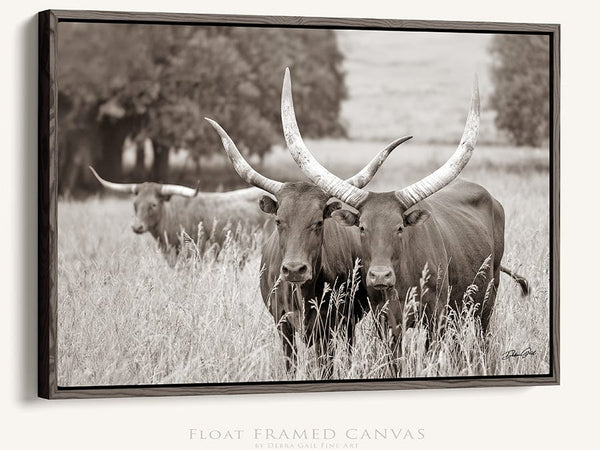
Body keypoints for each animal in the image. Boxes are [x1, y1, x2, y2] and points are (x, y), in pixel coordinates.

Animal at [204, 116, 410, 370]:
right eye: (278, 220)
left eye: (318, 222)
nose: (294, 269)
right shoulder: (282, 325)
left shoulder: (328, 327)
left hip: (349, 322)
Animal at [280, 69, 524, 352]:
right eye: (362, 227)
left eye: (399, 228)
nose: (380, 275)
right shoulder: (386, 322)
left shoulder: (436, 318)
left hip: (486, 299)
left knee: (483, 336)